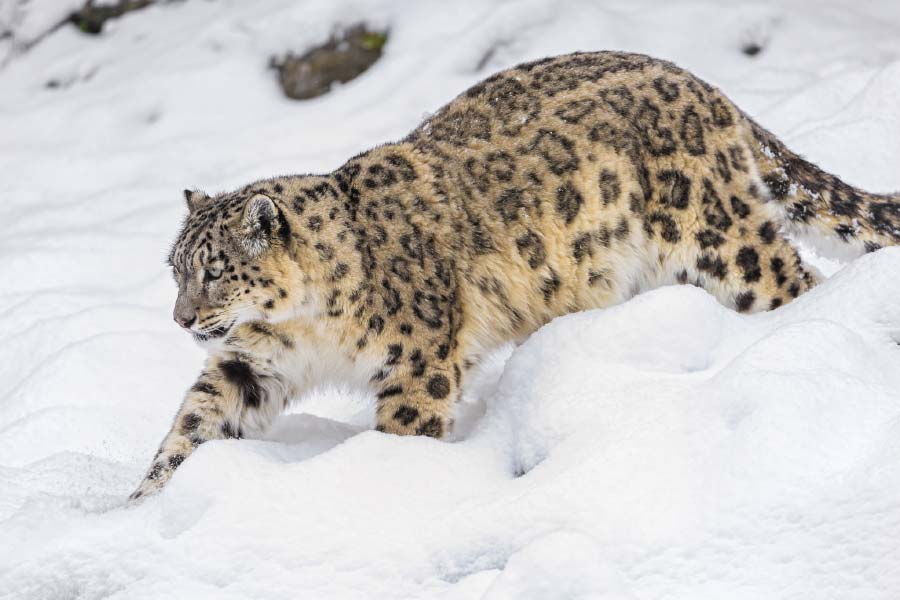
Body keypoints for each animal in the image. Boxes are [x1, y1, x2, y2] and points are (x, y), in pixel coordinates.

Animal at [130, 51, 900, 500]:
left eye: (216, 272)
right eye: (176, 271)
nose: (182, 318)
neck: (305, 327)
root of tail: (704, 85)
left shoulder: (417, 362)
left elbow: (405, 430)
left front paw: (381, 486)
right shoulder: (251, 363)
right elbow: (196, 421)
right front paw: (143, 505)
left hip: (724, 242)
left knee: (792, 281)